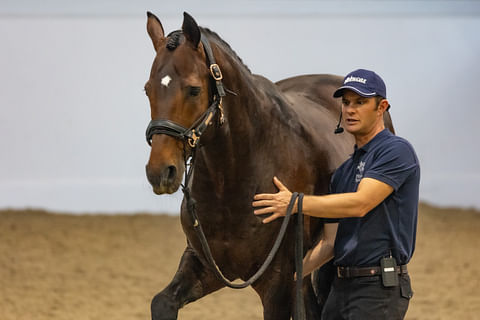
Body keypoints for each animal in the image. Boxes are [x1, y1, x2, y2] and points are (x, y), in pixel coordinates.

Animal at [144, 11, 396, 320]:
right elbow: (162, 302)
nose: (160, 172)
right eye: (148, 90)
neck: (233, 181)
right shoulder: (207, 266)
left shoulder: (277, 282)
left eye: (193, 90)